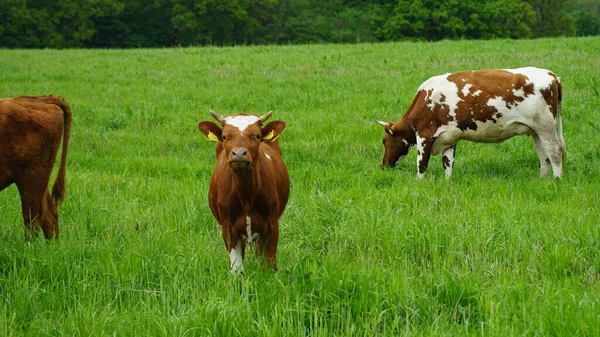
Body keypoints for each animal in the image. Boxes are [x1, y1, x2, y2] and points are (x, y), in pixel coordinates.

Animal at [198, 110, 290, 272]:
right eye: (225, 136)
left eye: (257, 136)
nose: (239, 153)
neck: (246, 196)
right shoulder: (228, 229)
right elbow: (237, 269)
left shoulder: (272, 225)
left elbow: (269, 264)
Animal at [378, 67, 564, 180]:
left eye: (384, 141)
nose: (383, 165)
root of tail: (553, 75)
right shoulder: (449, 138)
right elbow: (448, 163)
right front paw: (447, 182)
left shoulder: (424, 135)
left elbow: (421, 164)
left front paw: (419, 183)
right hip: (535, 131)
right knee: (545, 157)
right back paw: (542, 180)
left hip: (546, 126)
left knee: (555, 152)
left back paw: (556, 180)